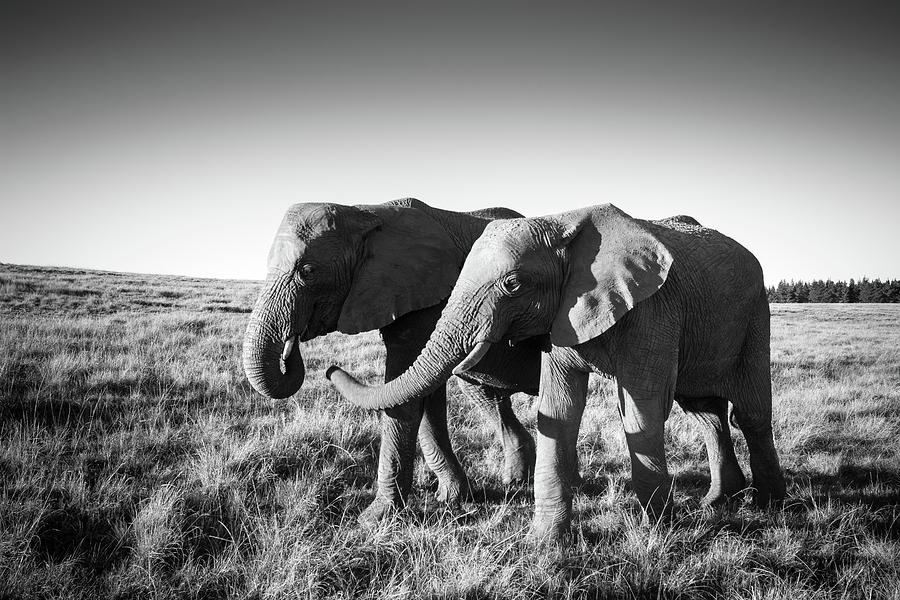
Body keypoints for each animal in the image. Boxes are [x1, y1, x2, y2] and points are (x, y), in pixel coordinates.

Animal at [239, 199, 536, 524]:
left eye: (307, 270)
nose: (329, 369)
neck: (365, 213)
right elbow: (423, 395)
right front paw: (451, 498)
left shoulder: (425, 297)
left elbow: (404, 393)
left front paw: (374, 518)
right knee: (484, 393)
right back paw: (516, 481)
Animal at [326, 204, 788, 536]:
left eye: (512, 284)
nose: (331, 367)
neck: (563, 223)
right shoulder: (561, 314)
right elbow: (560, 410)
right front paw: (545, 542)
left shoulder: (653, 310)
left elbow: (642, 411)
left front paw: (654, 532)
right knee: (706, 412)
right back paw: (718, 501)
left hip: (755, 316)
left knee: (749, 413)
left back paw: (768, 506)